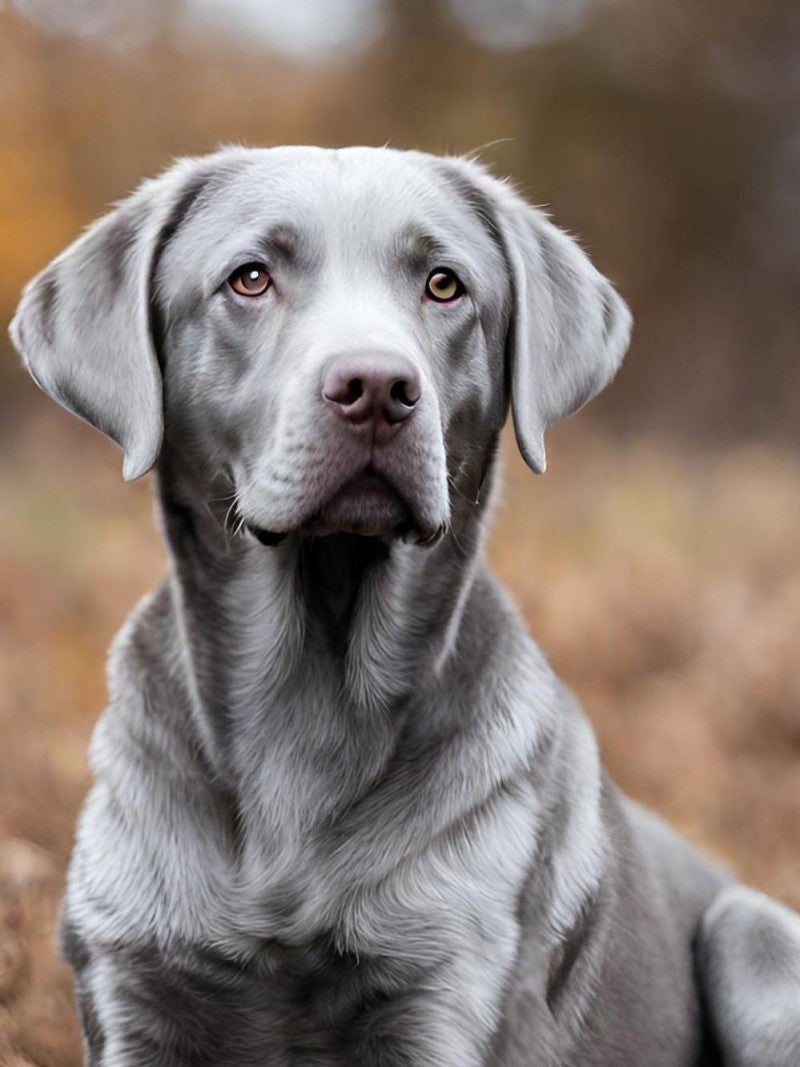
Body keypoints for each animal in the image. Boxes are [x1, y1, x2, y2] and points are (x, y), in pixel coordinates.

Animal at [7, 146, 800, 1062]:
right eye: (250, 278)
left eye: (444, 284)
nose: (379, 386)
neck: (306, 714)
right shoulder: (132, 983)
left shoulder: (449, 992)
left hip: (752, 934)